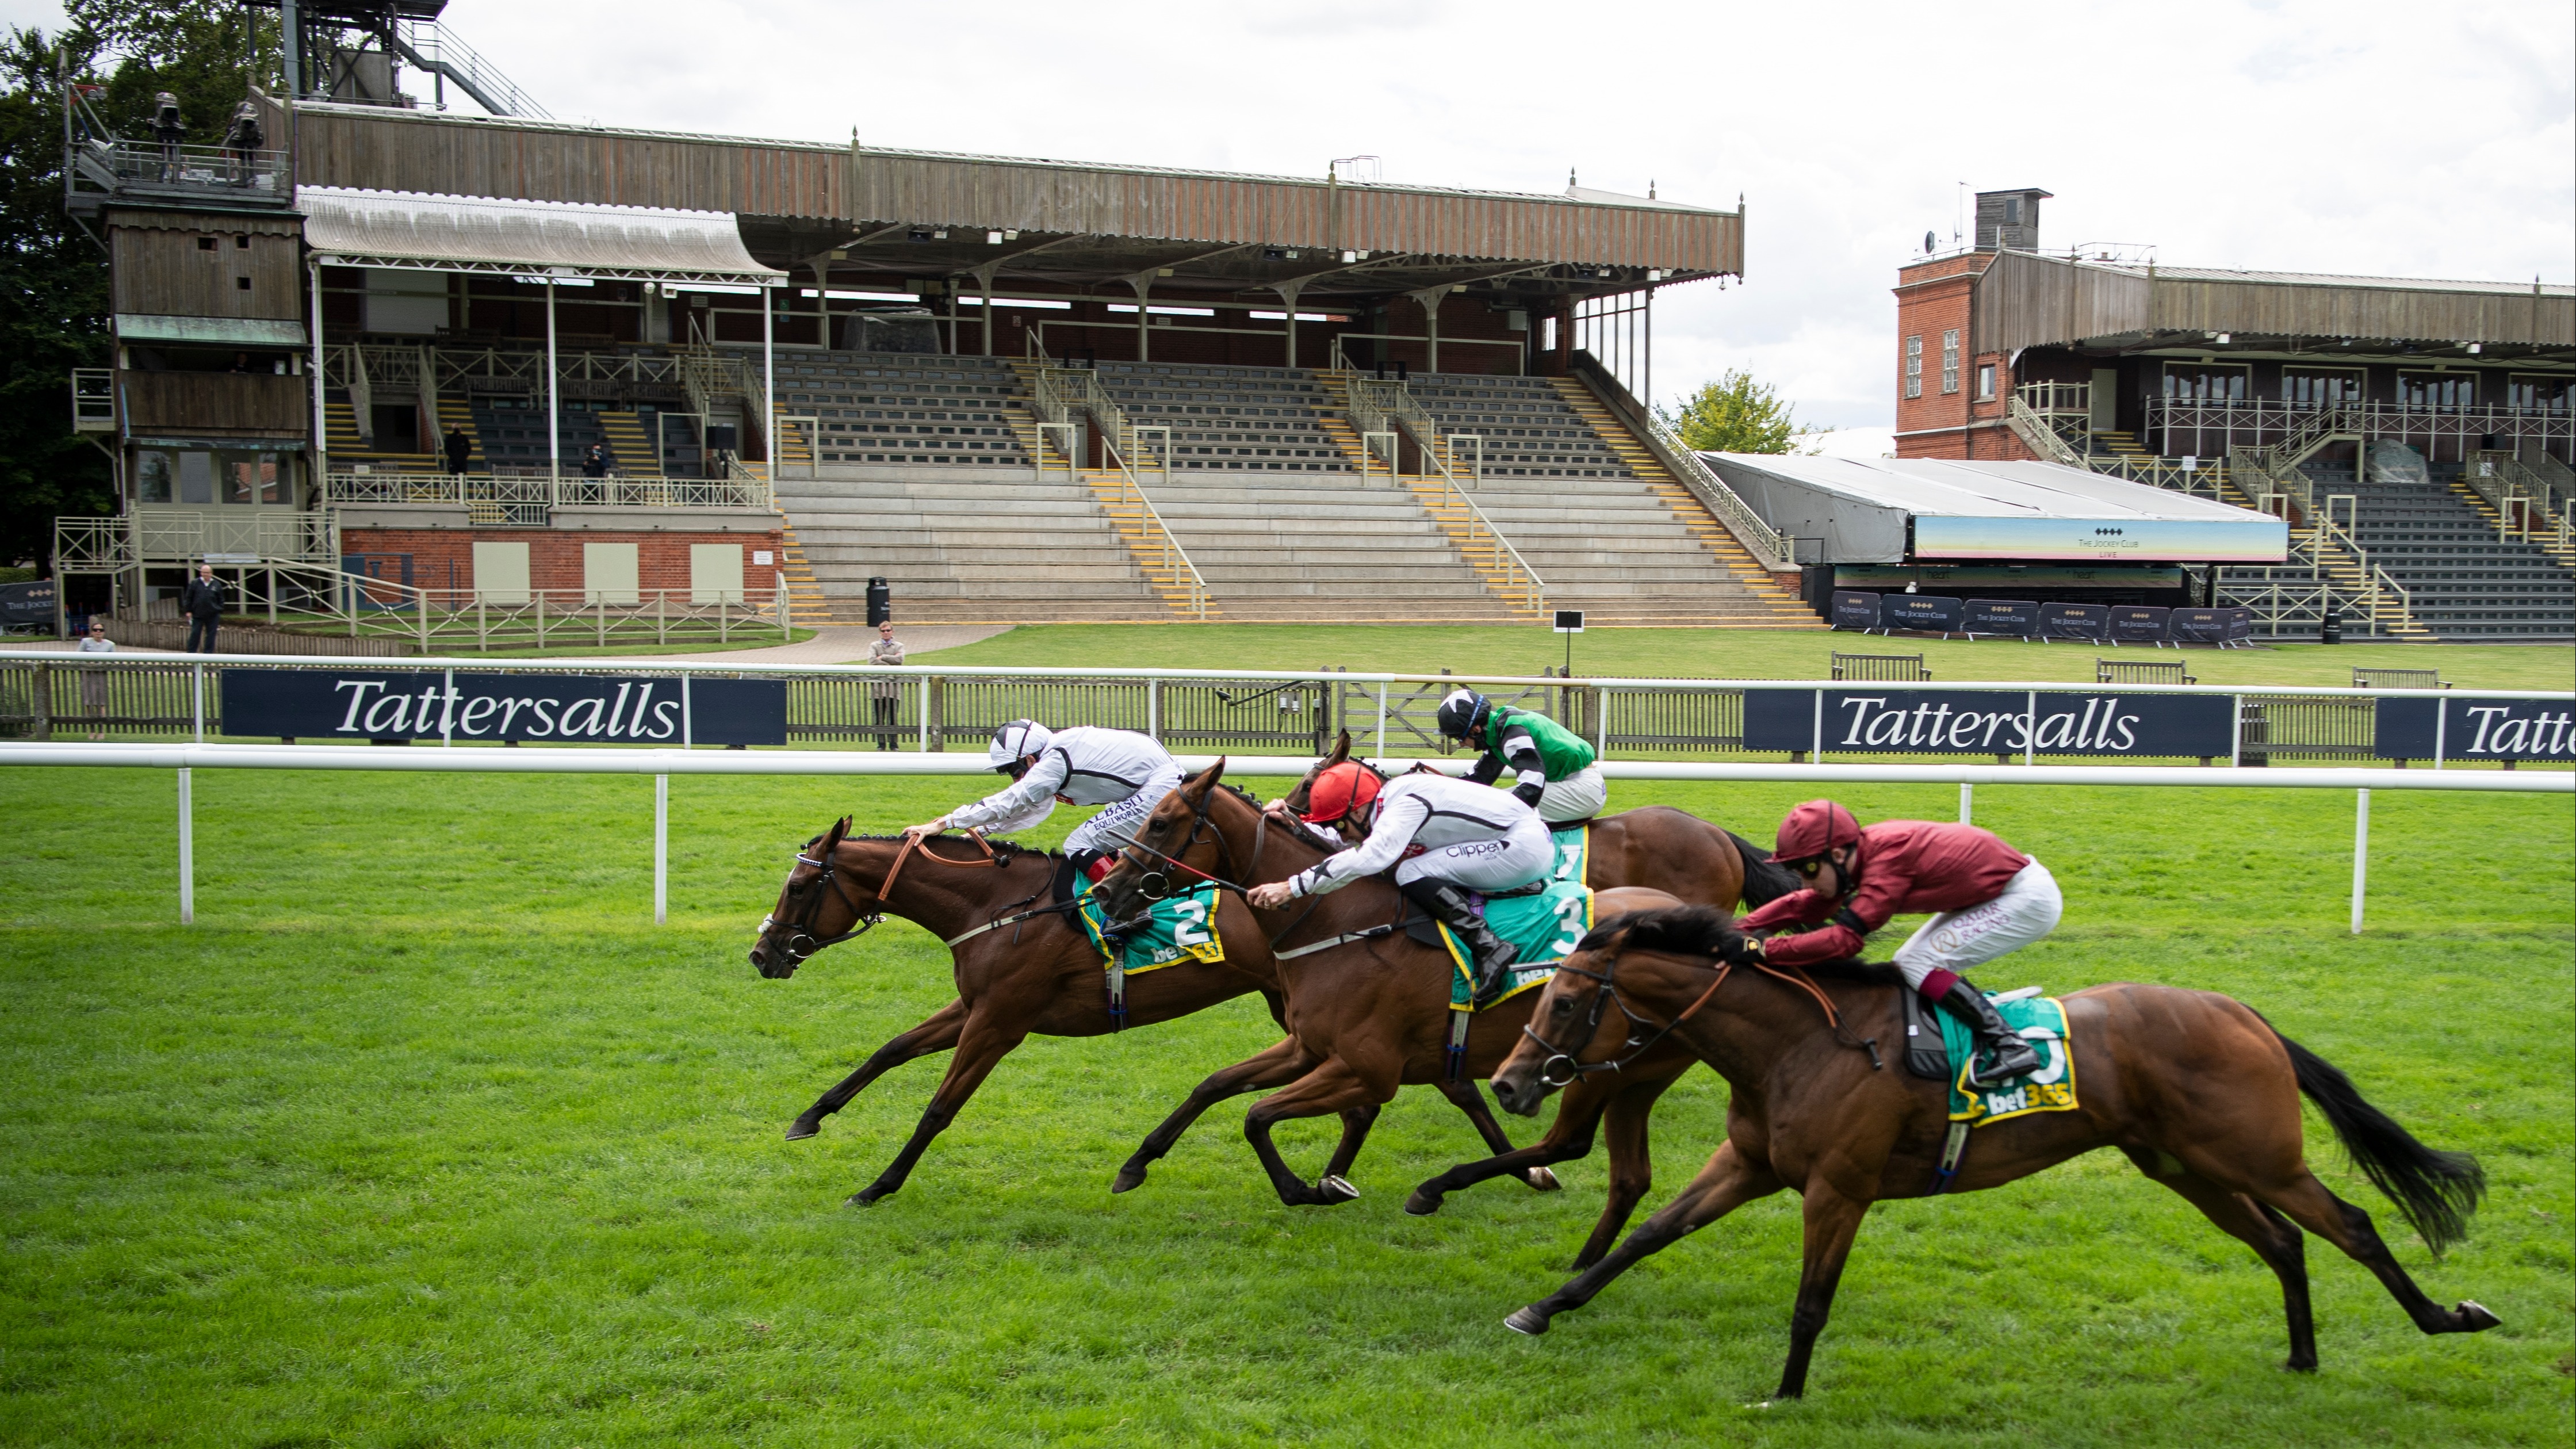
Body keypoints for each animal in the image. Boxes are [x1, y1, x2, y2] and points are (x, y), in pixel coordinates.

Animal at [747, 820, 1545, 1201]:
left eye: (798, 887)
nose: (762, 953)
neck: (996, 904)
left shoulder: (1000, 1021)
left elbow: (939, 1107)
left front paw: (879, 1184)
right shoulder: (974, 1003)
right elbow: (889, 1048)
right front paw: (810, 1117)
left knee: (1445, 1081)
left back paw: (1525, 1168)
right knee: (1400, 1088)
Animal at [1483, 907, 2504, 1392]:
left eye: (1564, 1002)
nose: (1508, 1082)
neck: (1797, 1042)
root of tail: (2243, 1011)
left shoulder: (1838, 1188)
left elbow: (1811, 1302)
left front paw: (1784, 1391)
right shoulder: (1748, 1165)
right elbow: (1645, 1235)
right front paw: (1539, 1308)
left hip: (2256, 1156)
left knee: (2353, 1224)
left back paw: (2446, 1316)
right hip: (2184, 1165)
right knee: (2284, 1241)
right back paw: (2299, 1355)